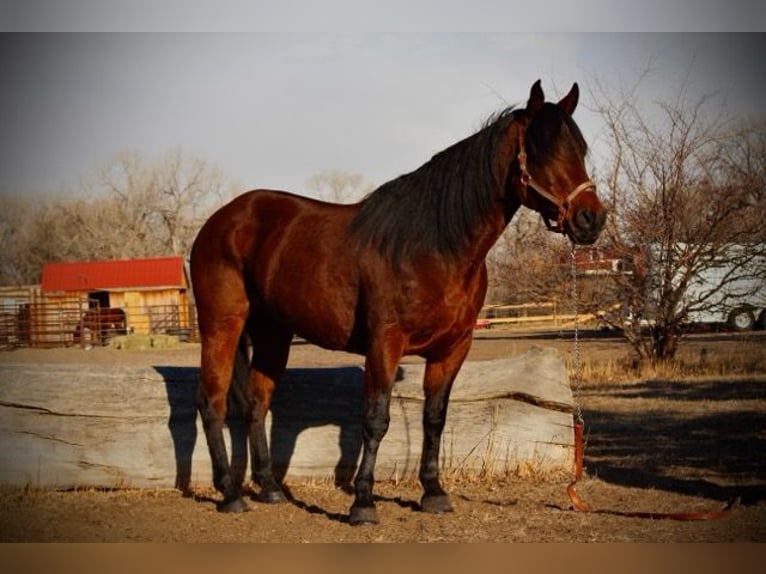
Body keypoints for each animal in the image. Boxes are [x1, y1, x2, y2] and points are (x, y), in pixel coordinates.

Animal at [190, 80, 608, 528]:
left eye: (581, 150)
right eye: (544, 151)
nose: (591, 220)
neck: (434, 246)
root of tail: (220, 221)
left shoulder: (452, 349)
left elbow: (434, 419)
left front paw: (434, 493)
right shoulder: (384, 344)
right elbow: (376, 420)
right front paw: (363, 503)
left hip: (273, 334)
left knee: (256, 403)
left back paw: (269, 489)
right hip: (221, 325)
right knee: (212, 403)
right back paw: (230, 494)